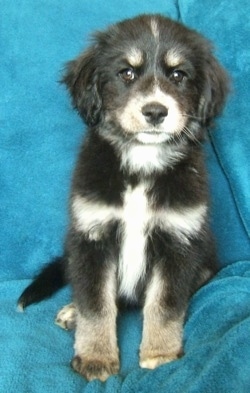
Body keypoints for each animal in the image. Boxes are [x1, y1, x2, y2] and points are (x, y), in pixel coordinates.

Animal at [18, 14, 229, 380]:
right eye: (127, 73)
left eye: (178, 75)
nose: (156, 111)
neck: (142, 164)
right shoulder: (92, 236)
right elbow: (95, 302)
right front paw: (96, 357)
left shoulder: (179, 241)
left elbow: (165, 303)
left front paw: (160, 353)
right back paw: (72, 312)